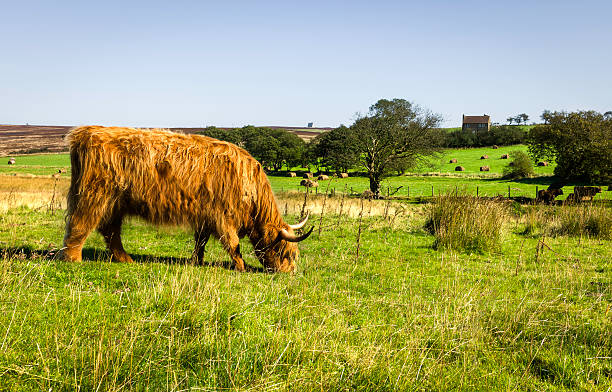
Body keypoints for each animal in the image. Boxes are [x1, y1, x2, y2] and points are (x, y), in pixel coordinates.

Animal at [62, 126, 314, 272]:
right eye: (283, 252)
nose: (288, 272)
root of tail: (86, 132)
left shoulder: (205, 215)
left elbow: (200, 241)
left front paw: (196, 262)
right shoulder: (223, 216)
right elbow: (232, 243)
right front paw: (241, 266)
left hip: (116, 203)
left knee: (110, 230)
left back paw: (125, 259)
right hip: (94, 195)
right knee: (80, 223)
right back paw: (73, 259)